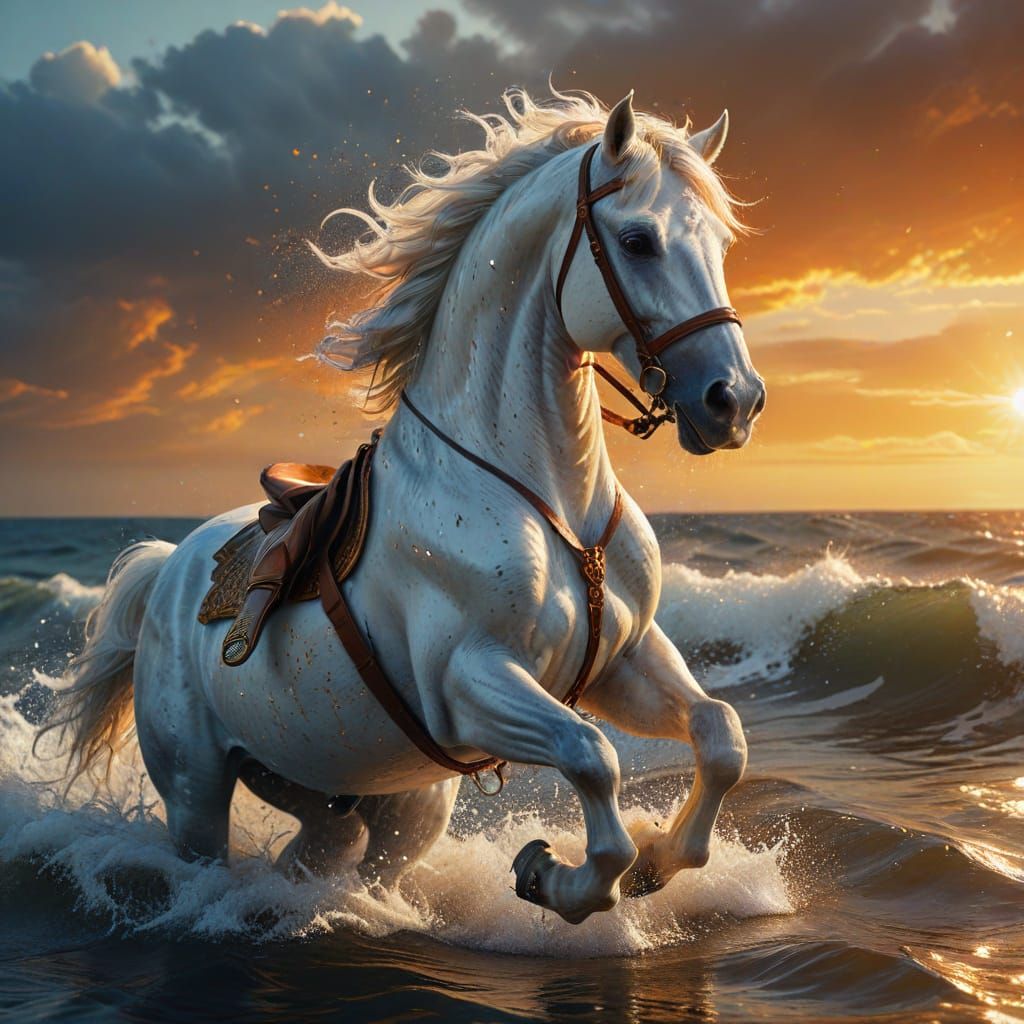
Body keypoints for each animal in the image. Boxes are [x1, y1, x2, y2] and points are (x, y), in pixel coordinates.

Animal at [46, 87, 765, 926]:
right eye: (638, 239)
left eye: (720, 243)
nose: (733, 401)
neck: (550, 502)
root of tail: (168, 570)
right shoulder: (472, 685)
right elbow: (593, 758)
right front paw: (552, 876)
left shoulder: (624, 660)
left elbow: (721, 735)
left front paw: (657, 859)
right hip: (197, 789)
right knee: (205, 851)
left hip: (379, 801)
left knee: (328, 859)